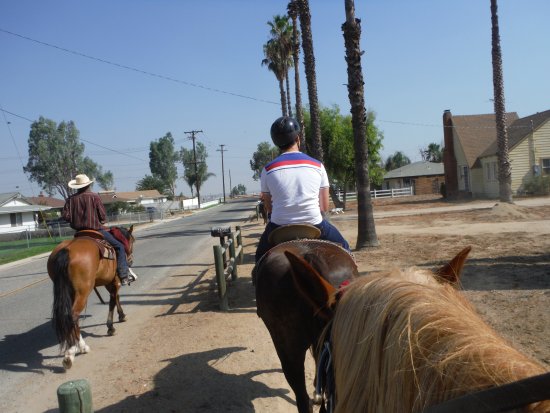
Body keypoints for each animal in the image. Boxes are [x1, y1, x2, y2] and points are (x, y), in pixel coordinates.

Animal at [48, 224, 137, 368]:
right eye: (132, 240)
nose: (131, 260)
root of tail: (66, 250)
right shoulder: (115, 281)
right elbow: (113, 300)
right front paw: (111, 327)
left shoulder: (109, 282)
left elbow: (115, 298)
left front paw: (121, 316)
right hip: (82, 292)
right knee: (73, 315)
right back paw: (74, 351)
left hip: (69, 291)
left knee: (69, 317)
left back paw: (75, 348)